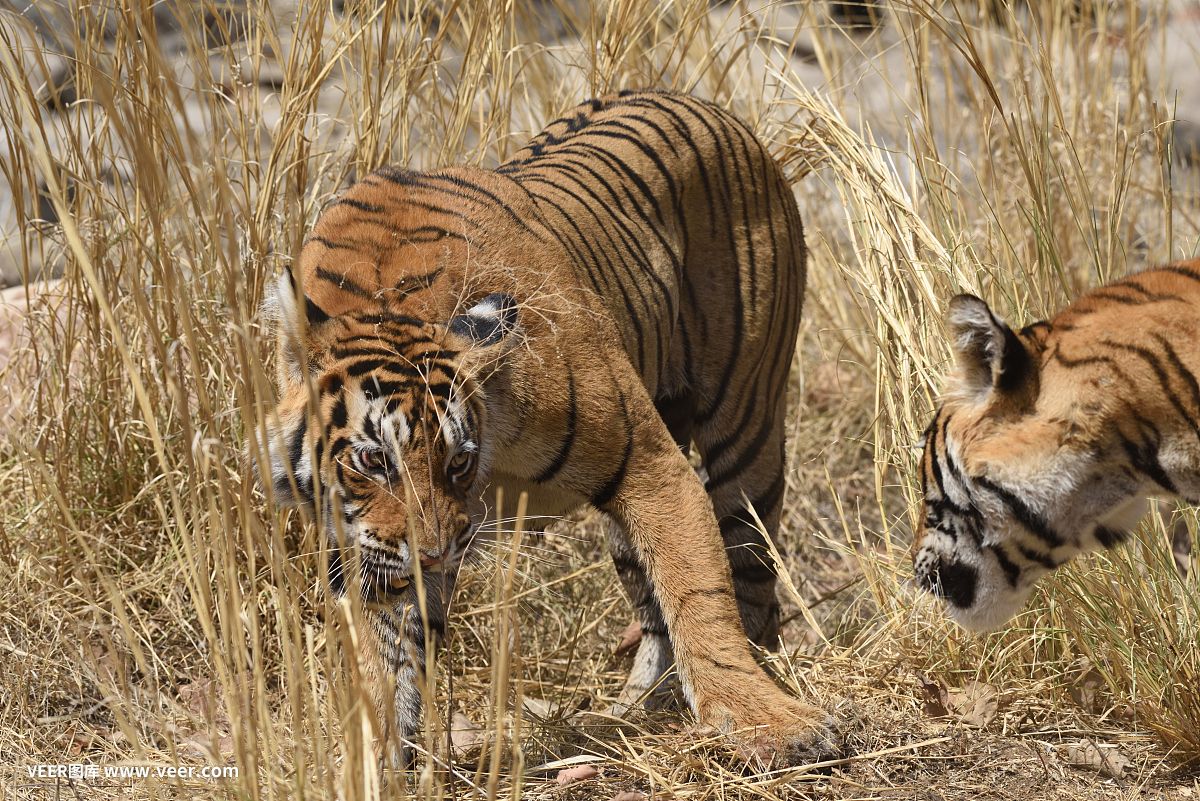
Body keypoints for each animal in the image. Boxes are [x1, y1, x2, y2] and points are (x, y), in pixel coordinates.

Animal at [253, 90, 835, 767]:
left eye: (458, 461)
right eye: (374, 461)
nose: (434, 553)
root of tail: (710, 106)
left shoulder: (649, 462)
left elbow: (699, 595)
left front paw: (767, 720)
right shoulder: (369, 543)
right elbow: (388, 656)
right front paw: (377, 761)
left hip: (747, 424)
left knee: (749, 580)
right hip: (625, 525)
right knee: (652, 602)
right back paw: (635, 710)